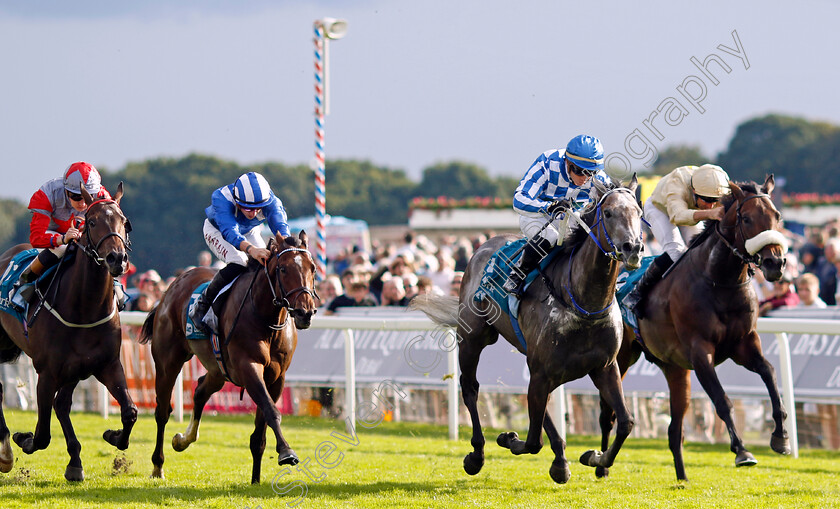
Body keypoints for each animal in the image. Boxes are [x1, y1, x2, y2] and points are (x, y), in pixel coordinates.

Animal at [0, 183, 134, 480]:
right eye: (91, 222)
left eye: (124, 222)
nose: (117, 258)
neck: (84, 308)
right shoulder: (47, 372)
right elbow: (41, 436)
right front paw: (23, 438)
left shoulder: (106, 364)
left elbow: (130, 411)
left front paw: (112, 435)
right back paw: (5, 452)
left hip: (75, 369)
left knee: (62, 404)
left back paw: (74, 462)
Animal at [141, 228, 318, 482]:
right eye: (283, 269)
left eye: (312, 268)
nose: (305, 312)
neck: (267, 318)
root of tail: (170, 289)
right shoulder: (248, 367)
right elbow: (272, 411)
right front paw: (286, 452)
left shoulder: (276, 377)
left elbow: (260, 431)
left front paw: (255, 480)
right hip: (168, 361)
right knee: (162, 411)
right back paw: (158, 465)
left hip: (218, 369)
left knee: (200, 390)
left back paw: (183, 439)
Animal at [414, 177, 644, 482]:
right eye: (608, 213)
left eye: (639, 212)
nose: (633, 248)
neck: (583, 303)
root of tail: (484, 246)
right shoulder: (542, 369)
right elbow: (533, 441)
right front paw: (508, 438)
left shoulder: (604, 367)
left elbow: (625, 422)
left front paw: (595, 458)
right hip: (473, 338)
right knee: (470, 387)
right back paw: (477, 455)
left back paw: (560, 460)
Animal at [600, 175, 792, 480]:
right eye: (747, 218)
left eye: (777, 216)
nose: (776, 262)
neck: (720, 280)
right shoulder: (701, 352)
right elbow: (722, 401)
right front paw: (742, 451)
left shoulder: (745, 344)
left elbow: (770, 374)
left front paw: (781, 437)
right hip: (620, 357)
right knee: (607, 414)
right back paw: (601, 466)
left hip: (675, 369)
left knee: (674, 430)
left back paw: (682, 478)